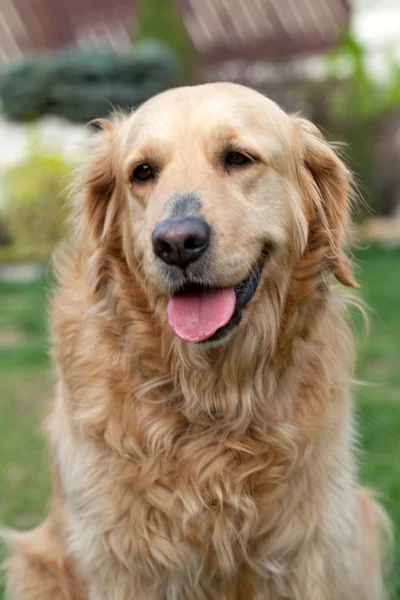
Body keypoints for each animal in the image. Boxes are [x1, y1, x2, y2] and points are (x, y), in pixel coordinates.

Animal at [3, 83, 390, 596]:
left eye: (238, 158)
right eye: (142, 172)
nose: (176, 243)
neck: (213, 395)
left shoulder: (309, 546)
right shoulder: (121, 560)